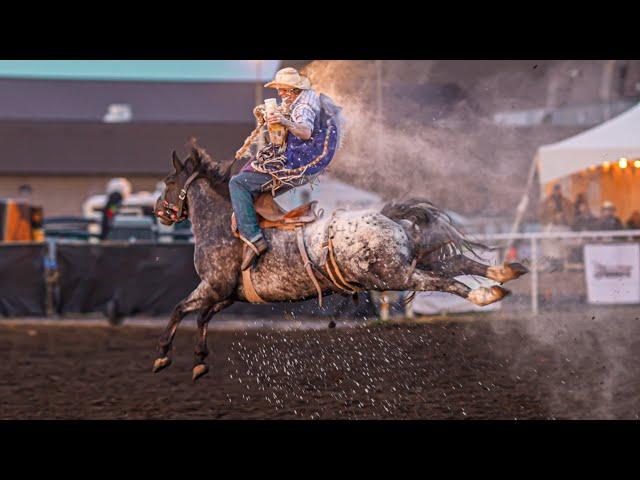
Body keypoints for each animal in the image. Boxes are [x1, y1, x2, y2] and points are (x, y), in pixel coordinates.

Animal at [152, 144, 528, 380]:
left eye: (169, 182)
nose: (159, 210)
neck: (222, 225)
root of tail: (385, 215)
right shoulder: (227, 295)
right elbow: (198, 315)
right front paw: (199, 361)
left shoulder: (214, 286)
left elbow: (182, 309)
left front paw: (163, 354)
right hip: (410, 257)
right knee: (458, 263)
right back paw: (504, 273)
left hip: (394, 274)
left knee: (443, 281)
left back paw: (485, 294)